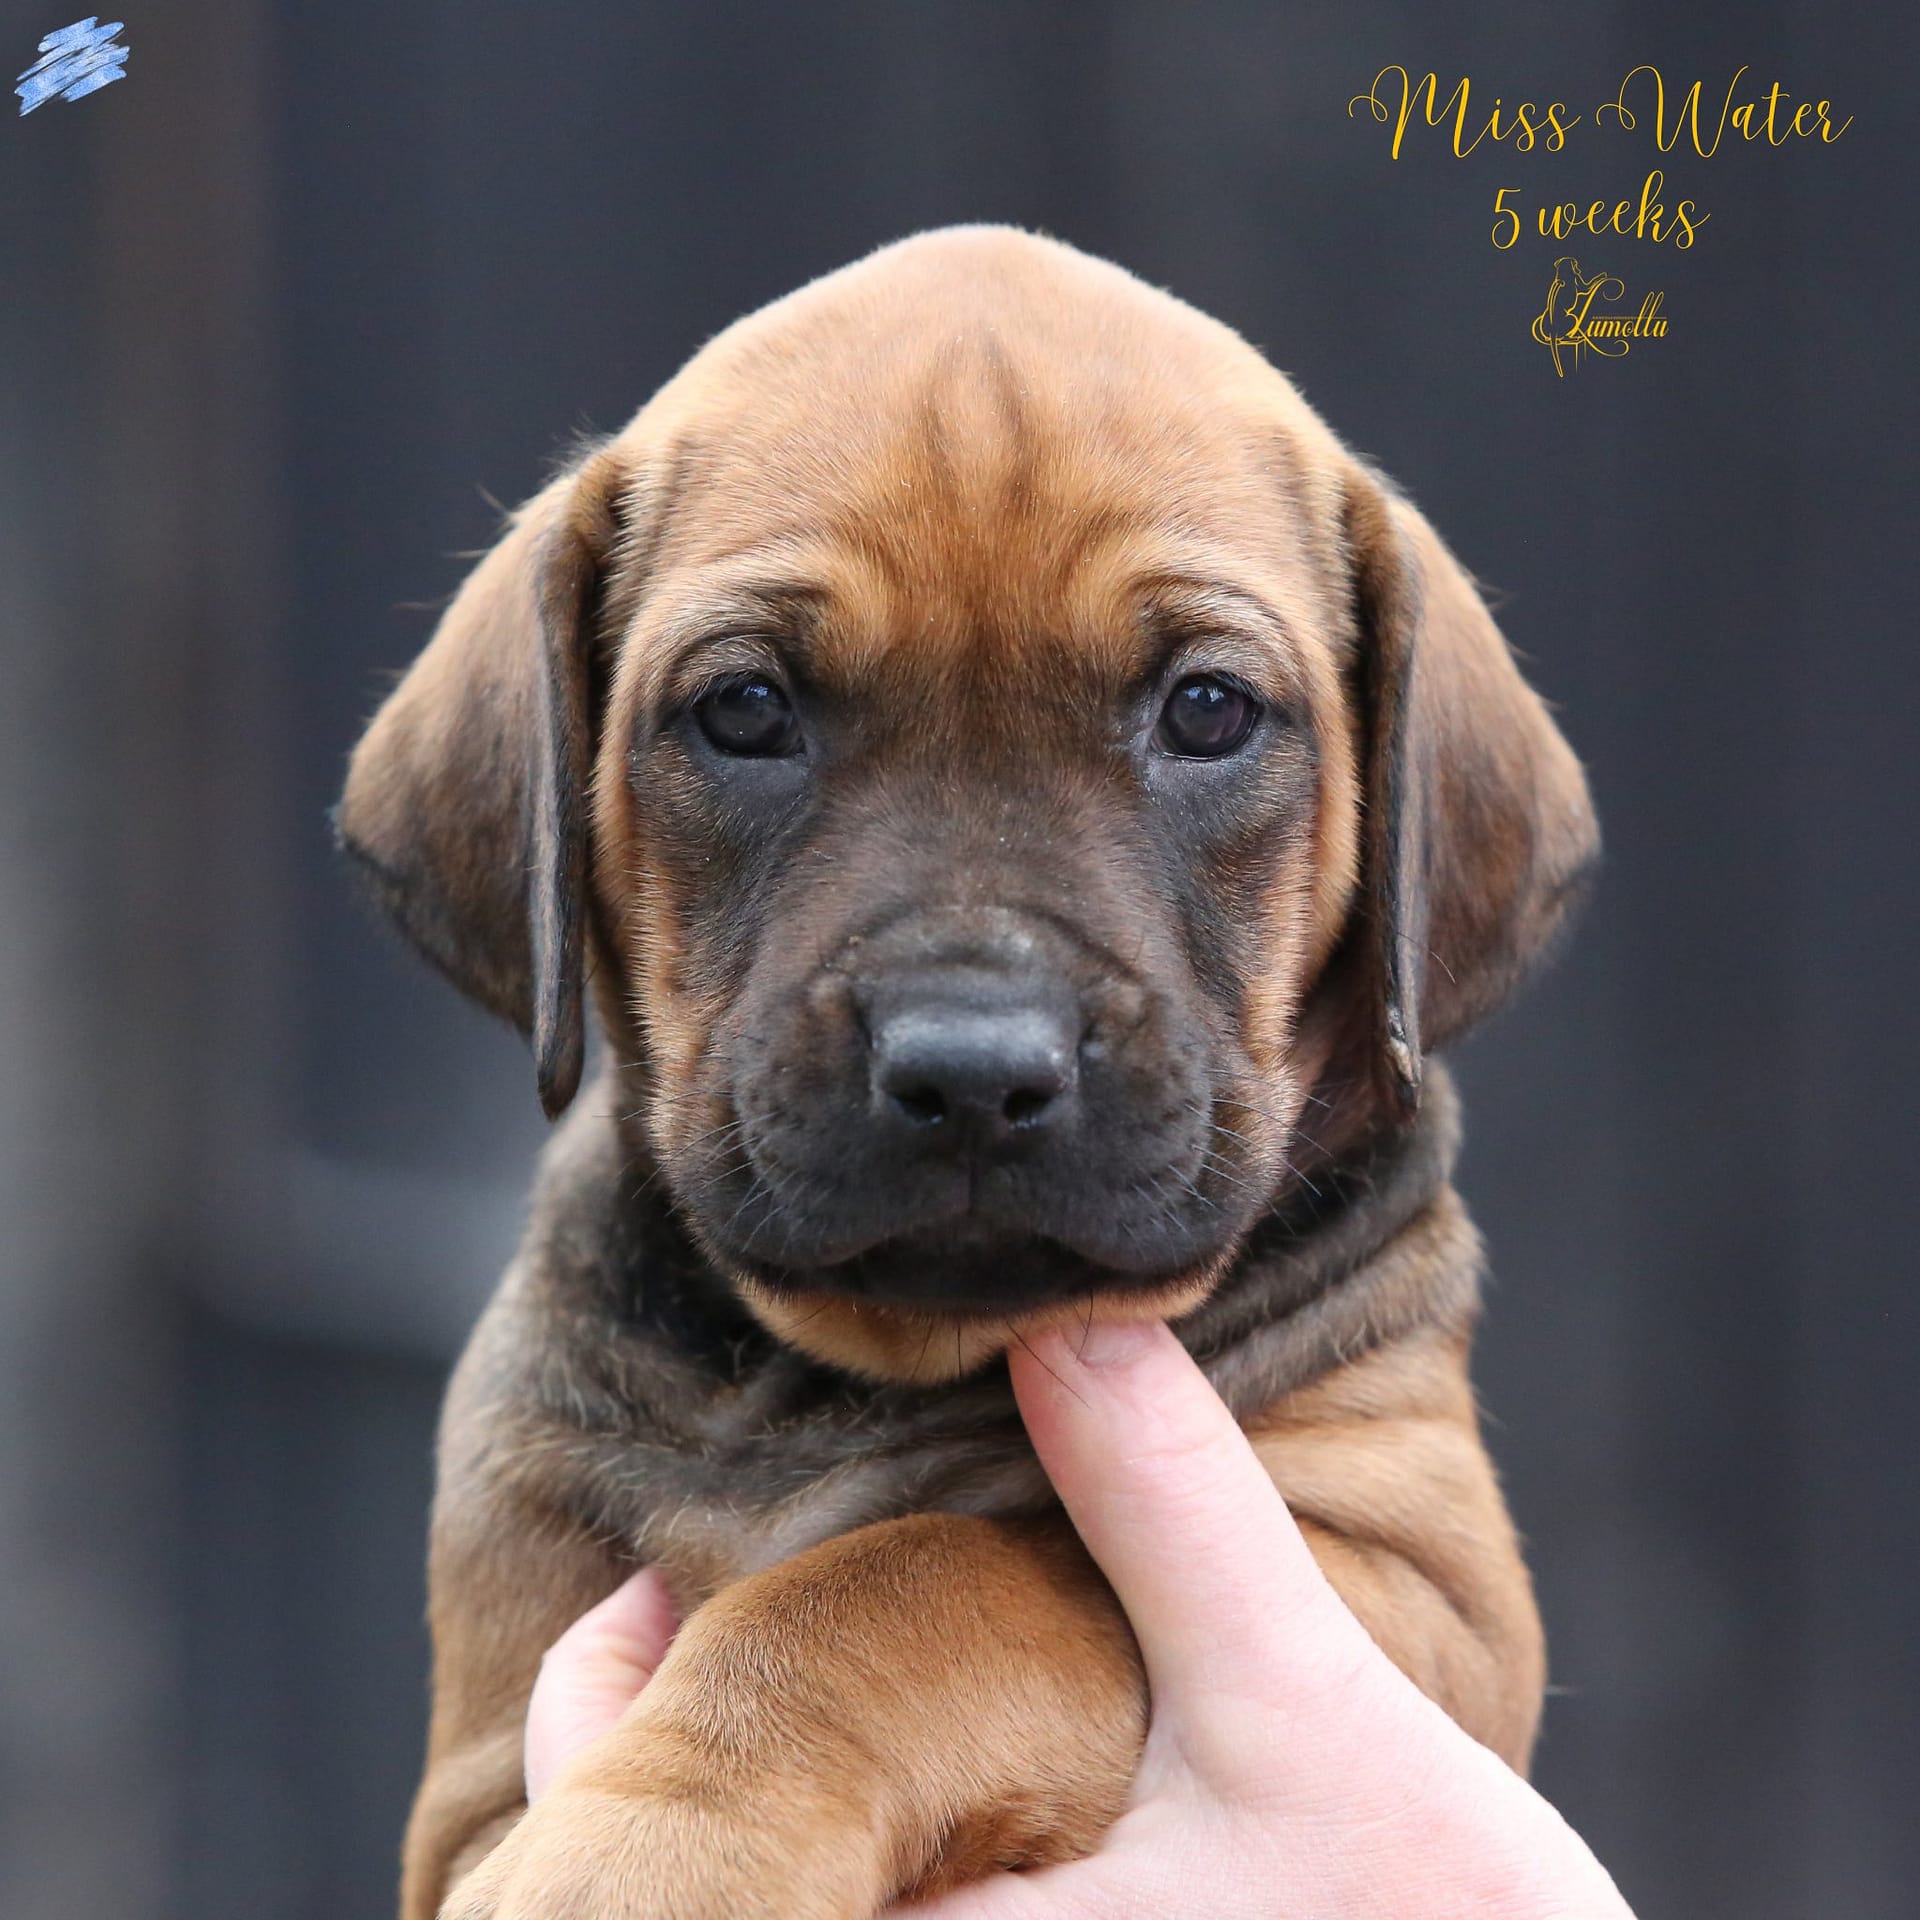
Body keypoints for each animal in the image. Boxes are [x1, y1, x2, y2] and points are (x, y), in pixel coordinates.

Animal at [338, 225, 1598, 1920]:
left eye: (1208, 709)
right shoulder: (484, 1747)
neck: (857, 1376)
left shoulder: (1394, 1574)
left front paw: (657, 1839)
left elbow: (914, 1579)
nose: (975, 1072)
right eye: (745, 709)